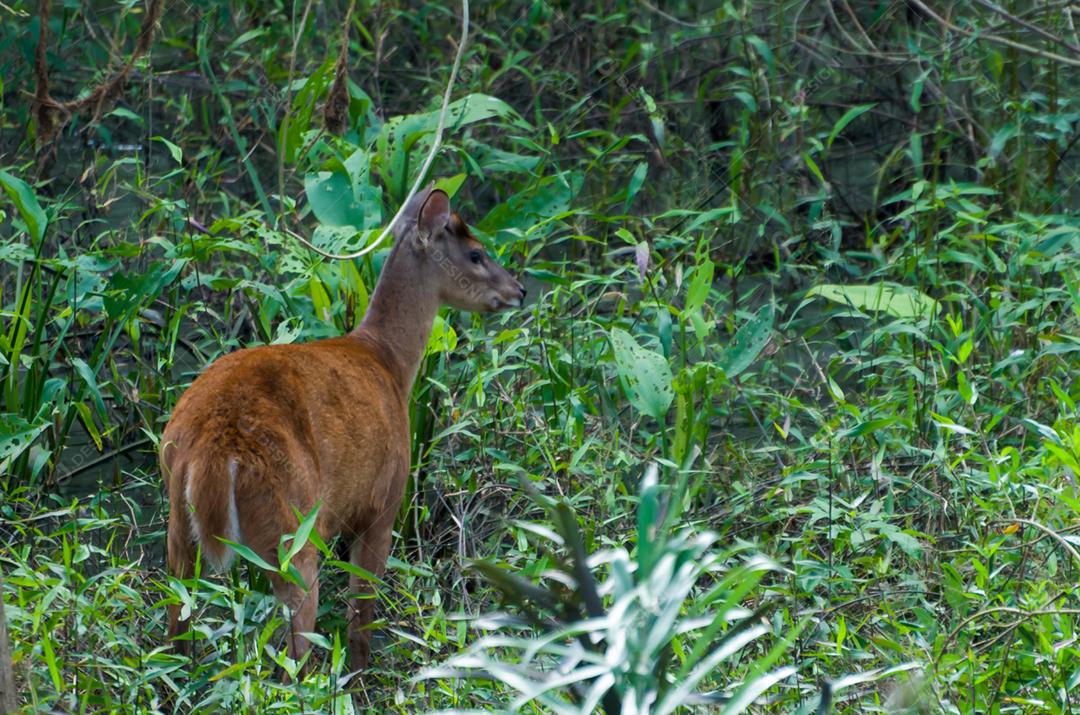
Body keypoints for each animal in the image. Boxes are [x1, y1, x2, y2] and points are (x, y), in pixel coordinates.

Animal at [161, 185, 526, 673]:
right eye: (476, 253)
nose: (519, 290)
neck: (387, 360)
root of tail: (214, 444)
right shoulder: (382, 503)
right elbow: (361, 616)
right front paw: (361, 674)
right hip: (293, 528)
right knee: (295, 650)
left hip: (180, 527)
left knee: (174, 629)